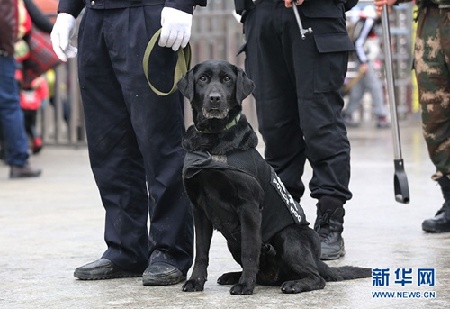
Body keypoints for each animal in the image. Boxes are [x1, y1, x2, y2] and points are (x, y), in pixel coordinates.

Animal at [178, 58, 370, 294]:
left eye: (227, 79)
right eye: (203, 78)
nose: (215, 98)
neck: (213, 139)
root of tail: (318, 260)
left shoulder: (249, 207)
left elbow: (250, 250)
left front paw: (245, 286)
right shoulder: (199, 210)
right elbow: (201, 251)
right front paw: (196, 281)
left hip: (289, 237)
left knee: (316, 277)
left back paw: (293, 284)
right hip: (233, 242)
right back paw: (234, 275)